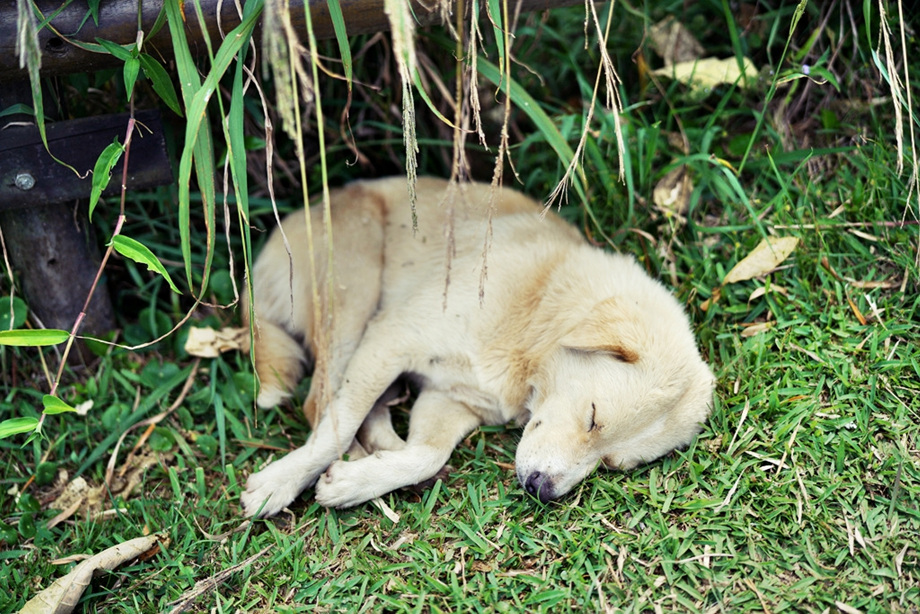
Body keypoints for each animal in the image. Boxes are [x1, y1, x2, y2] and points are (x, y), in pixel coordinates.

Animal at [240, 176, 714, 517]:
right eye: (593, 418)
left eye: (611, 463)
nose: (541, 491)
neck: (537, 306)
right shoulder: (391, 338)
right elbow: (334, 432)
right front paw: (278, 483)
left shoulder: (450, 398)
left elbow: (426, 456)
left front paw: (357, 481)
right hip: (355, 286)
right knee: (321, 402)